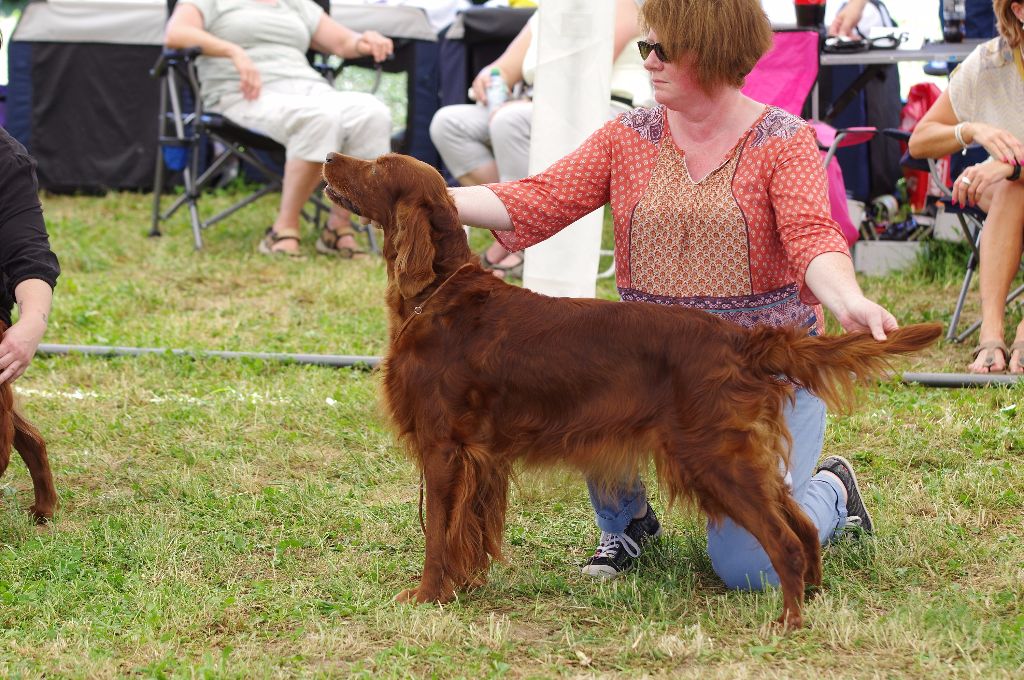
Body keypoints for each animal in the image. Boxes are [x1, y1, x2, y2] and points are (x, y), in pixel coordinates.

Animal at [323, 151, 937, 630]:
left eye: (376, 165)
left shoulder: (444, 449)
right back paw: (812, 596)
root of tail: (739, 339)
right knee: (804, 526)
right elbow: (467, 532)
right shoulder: (479, 458)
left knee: (782, 539)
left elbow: (437, 534)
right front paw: (463, 588)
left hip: (712, 457)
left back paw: (788, 621)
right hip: (734, 456)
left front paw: (427, 595)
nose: (328, 157)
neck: (437, 295)